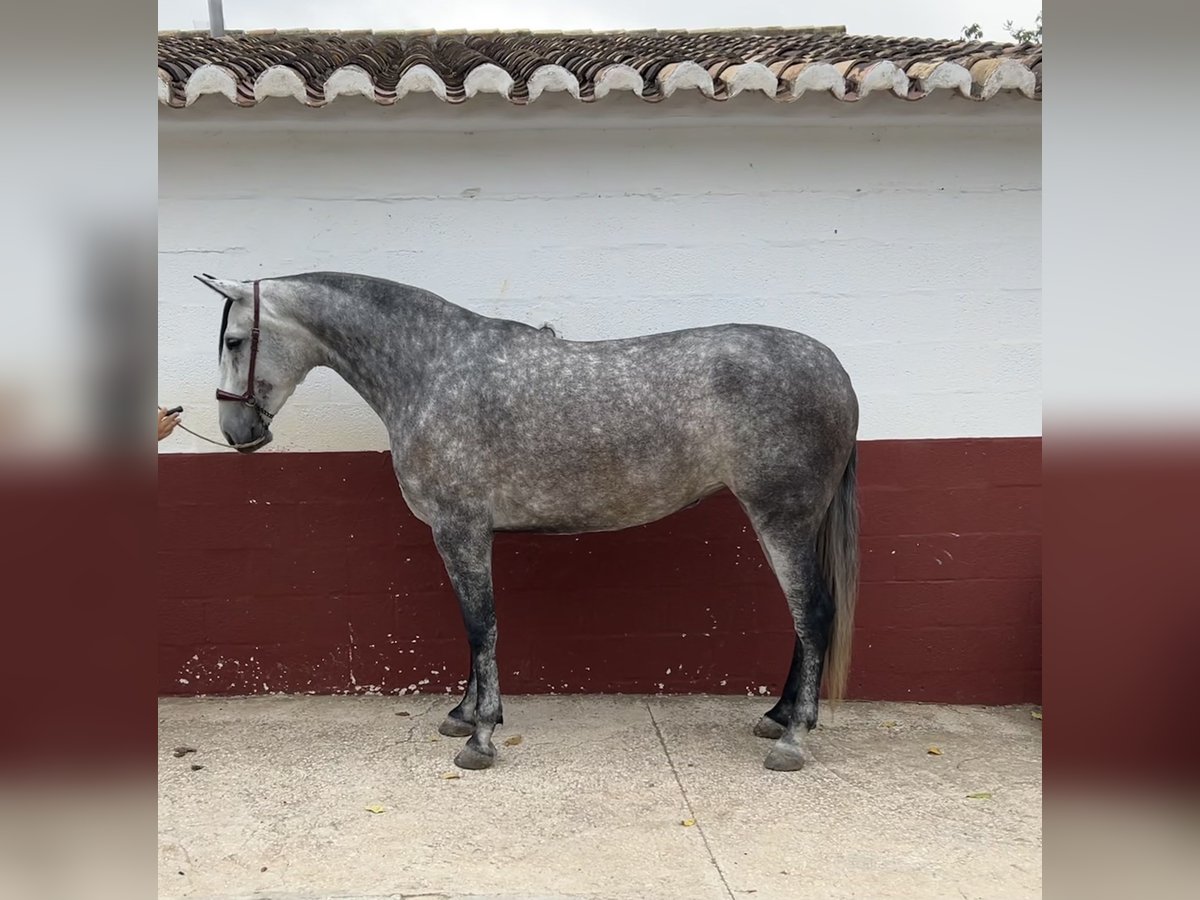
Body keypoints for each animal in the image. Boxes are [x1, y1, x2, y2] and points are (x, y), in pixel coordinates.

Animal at [199, 271, 854, 772]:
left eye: (233, 341)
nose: (238, 433)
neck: (431, 369)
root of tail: (835, 369)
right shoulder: (463, 533)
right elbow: (475, 628)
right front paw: (464, 714)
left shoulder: (459, 529)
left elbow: (480, 626)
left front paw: (481, 736)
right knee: (804, 620)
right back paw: (777, 717)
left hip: (782, 518)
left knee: (814, 613)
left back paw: (793, 739)